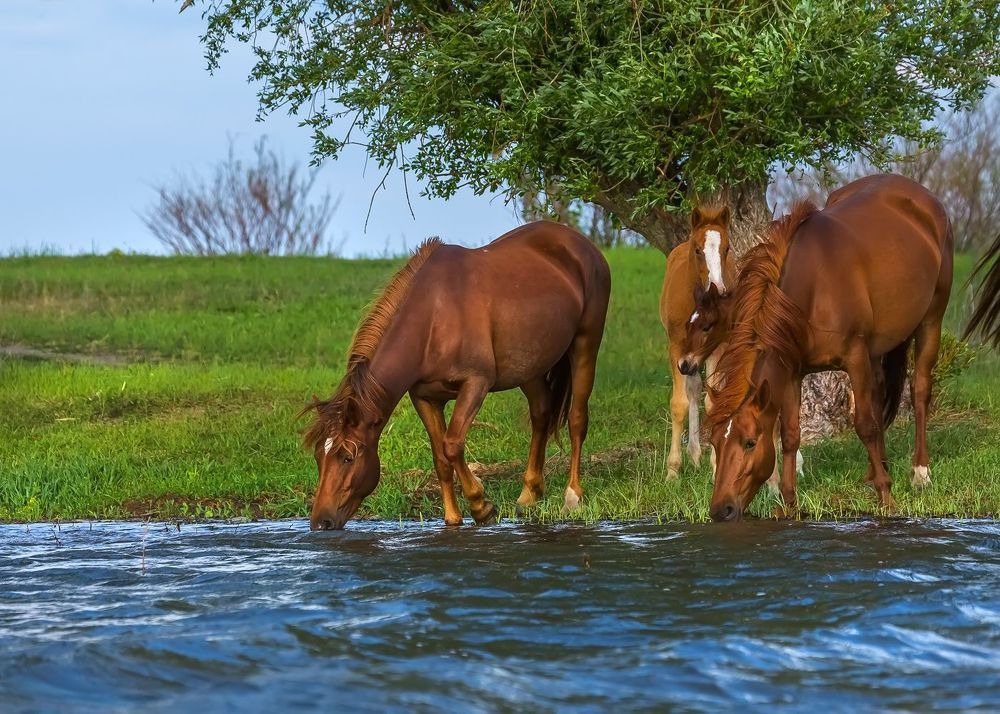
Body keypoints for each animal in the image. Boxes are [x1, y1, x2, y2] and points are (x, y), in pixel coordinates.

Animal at [302, 221, 611, 530]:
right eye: (318, 456)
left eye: (347, 457)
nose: (321, 521)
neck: (433, 319)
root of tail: (581, 243)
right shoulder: (425, 397)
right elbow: (440, 457)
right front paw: (453, 517)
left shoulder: (475, 384)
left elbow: (452, 445)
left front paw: (481, 506)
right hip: (530, 366)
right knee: (541, 413)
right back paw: (529, 494)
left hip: (586, 344)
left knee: (577, 419)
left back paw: (572, 497)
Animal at [659, 204, 736, 478]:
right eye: (698, 250)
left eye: (727, 248)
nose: (721, 289)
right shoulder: (676, 347)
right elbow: (679, 403)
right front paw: (672, 470)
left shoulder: (717, 346)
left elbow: (713, 402)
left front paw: (715, 466)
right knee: (691, 389)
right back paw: (691, 454)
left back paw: (695, 454)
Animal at [705, 174, 954, 522]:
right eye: (715, 443)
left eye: (750, 442)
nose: (721, 510)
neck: (811, 290)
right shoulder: (793, 370)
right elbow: (791, 434)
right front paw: (790, 503)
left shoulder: (855, 357)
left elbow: (864, 425)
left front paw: (887, 497)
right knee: (878, 396)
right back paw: (879, 468)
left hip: (931, 319)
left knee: (919, 392)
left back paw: (919, 473)